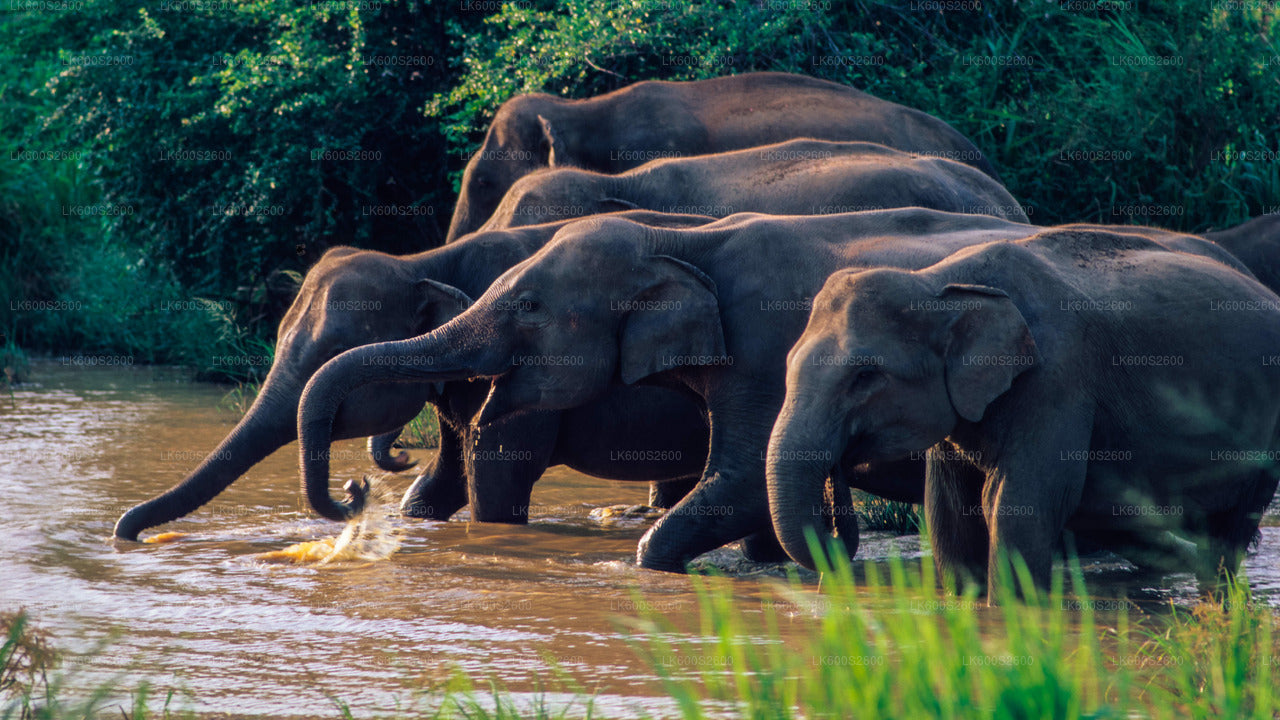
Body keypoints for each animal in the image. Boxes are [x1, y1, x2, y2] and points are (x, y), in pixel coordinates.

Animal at [768, 225, 1280, 594]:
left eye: (865, 376)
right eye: (787, 364)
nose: (838, 469)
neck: (939, 282)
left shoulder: (1058, 380)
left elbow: (1016, 508)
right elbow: (951, 516)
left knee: (1228, 533)